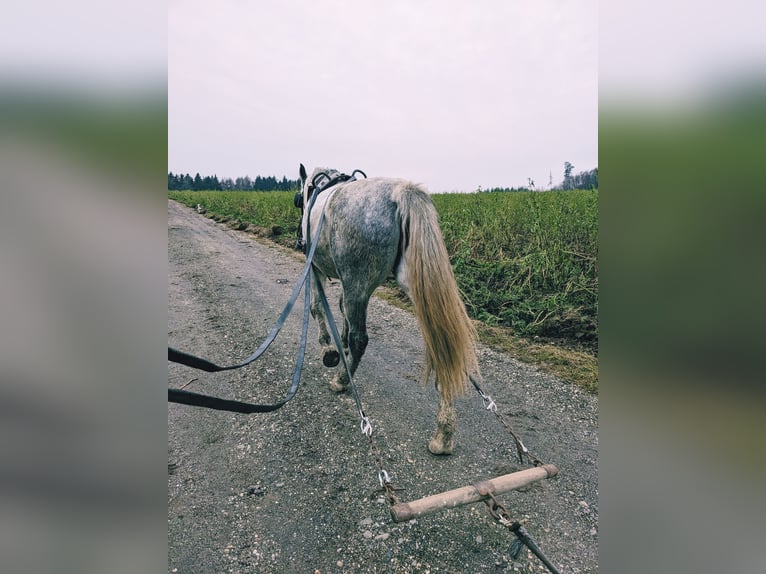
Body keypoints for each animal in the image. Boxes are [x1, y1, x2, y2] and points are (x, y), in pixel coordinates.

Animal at [298, 164, 480, 456]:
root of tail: (402, 192)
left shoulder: (315, 267)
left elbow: (317, 307)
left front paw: (329, 349)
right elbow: (343, 312)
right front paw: (341, 348)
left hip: (358, 281)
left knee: (360, 339)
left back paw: (342, 380)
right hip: (414, 283)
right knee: (440, 344)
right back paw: (444, 433)